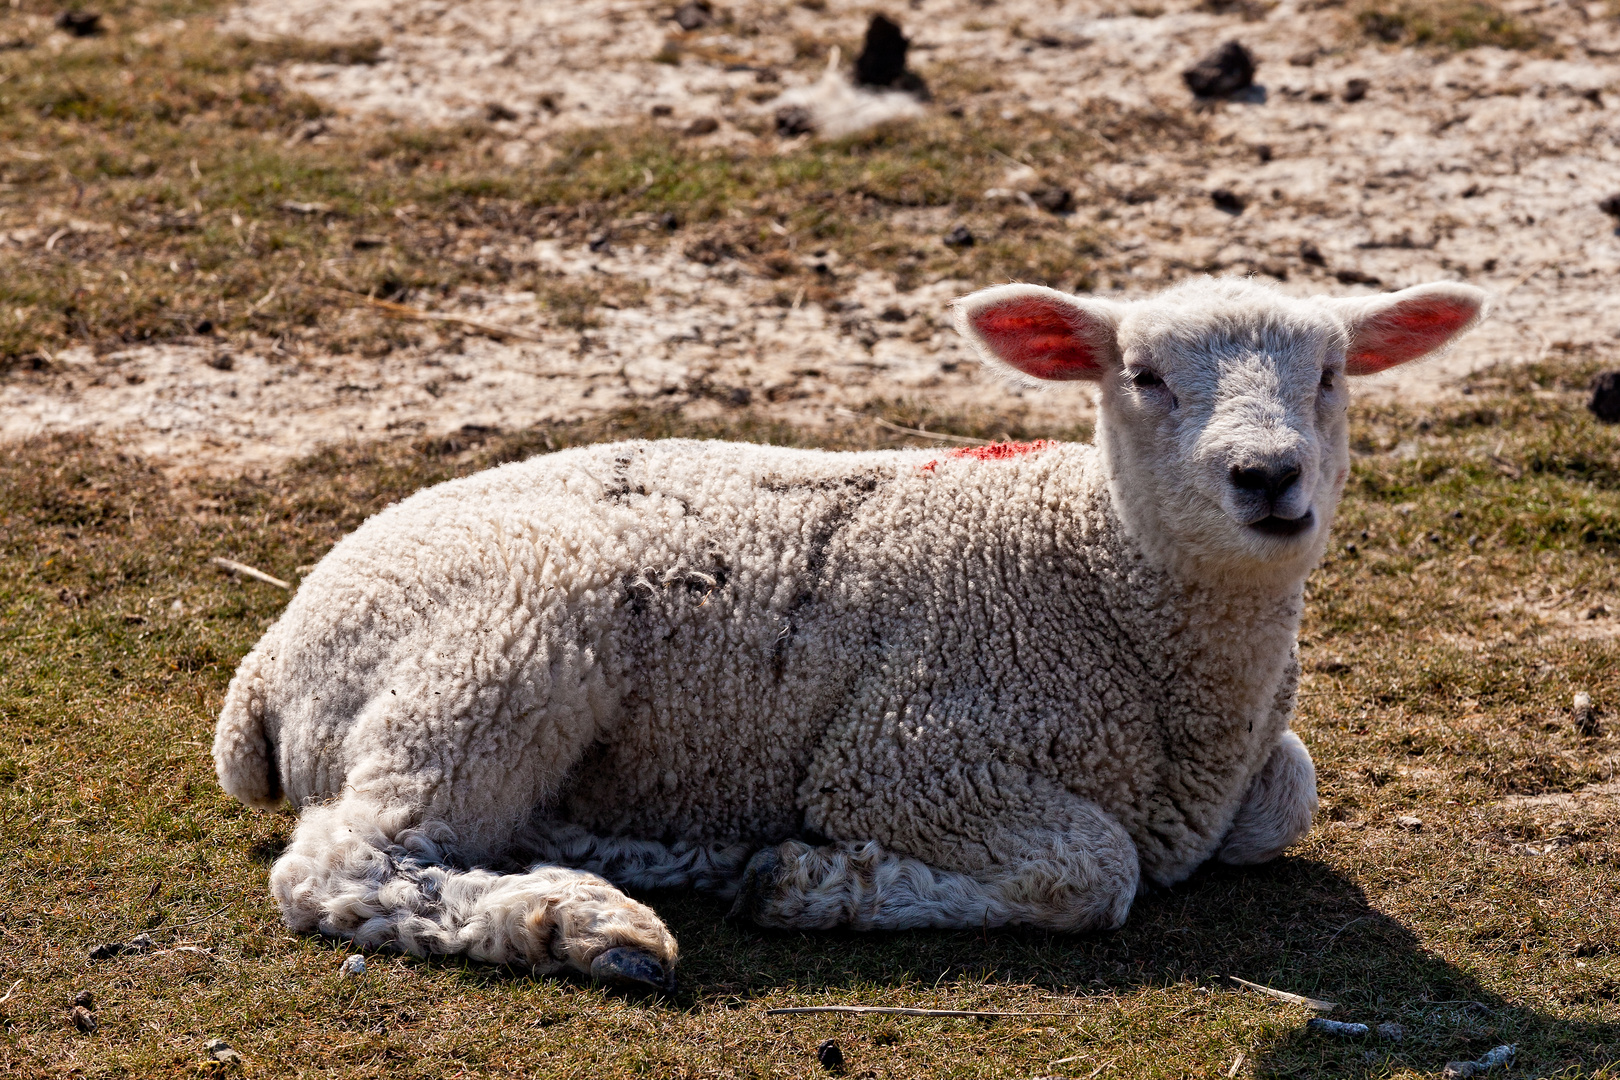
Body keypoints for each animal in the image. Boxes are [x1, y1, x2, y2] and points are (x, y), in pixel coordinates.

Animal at [208, 276, 1483, 990]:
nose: (1268, 478)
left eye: (1333, 372)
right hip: (497, 647)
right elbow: (1094, 869)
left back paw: (662, 862)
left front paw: (790, 870)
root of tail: (264, 671)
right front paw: (825, 887)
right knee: (346, 863)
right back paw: (587, 926)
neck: (1094, 574)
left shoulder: (1254, 769)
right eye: (1143, 375)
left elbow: (1286, 800)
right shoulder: (911, 751)